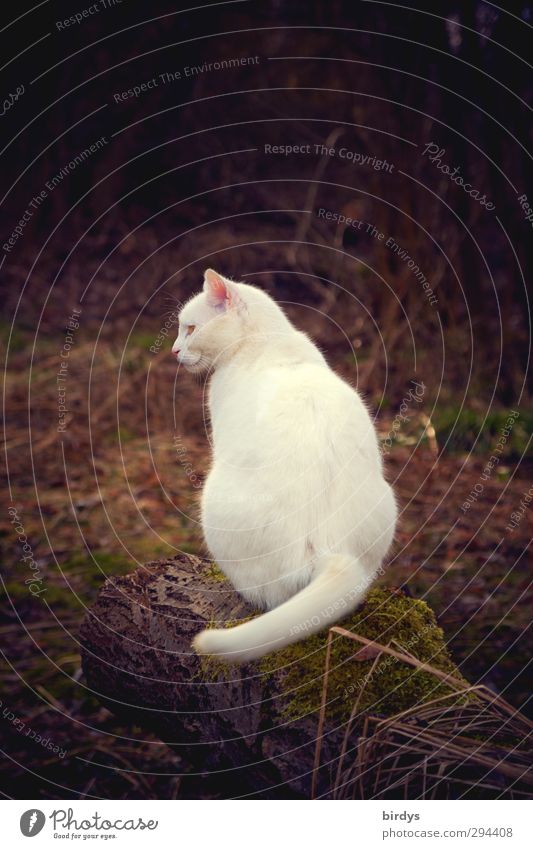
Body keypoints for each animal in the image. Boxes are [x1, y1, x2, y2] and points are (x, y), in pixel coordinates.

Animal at [171, 270, 394, 664]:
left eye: (190, 328)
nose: (173, 350)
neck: (266, 344)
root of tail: (331, 548)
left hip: (215, 508)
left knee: (267, 596)